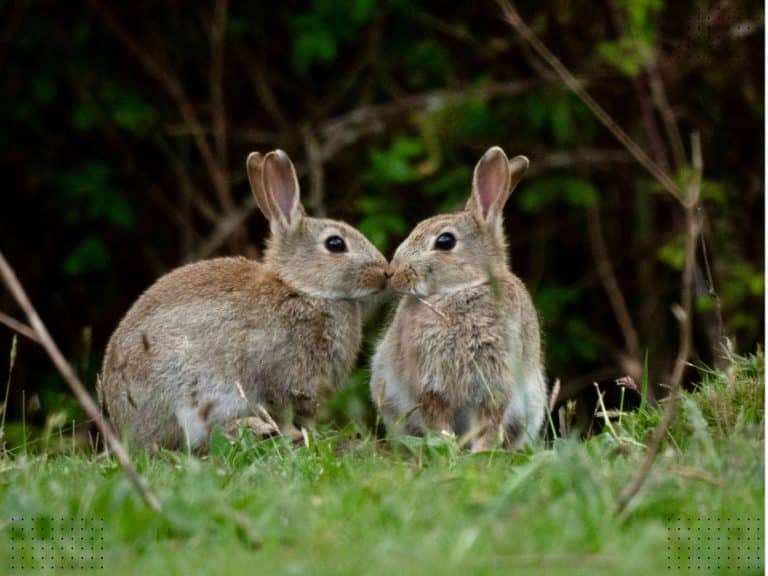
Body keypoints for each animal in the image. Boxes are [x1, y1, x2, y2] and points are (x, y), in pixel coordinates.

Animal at [100, 148, 390, 450]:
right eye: (335, 244)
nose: (385, 272)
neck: (302, 289)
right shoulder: (280, 378)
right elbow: (284, 412)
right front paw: (296, 436)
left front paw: (315, 435)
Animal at [370, 146, 544, 452]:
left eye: (445, 241)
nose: (394, 273)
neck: (462, 290)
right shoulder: (430, 384)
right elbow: (438, 420)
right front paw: (448, 449)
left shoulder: (495, 382)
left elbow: (488, 423)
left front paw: (480, 453)